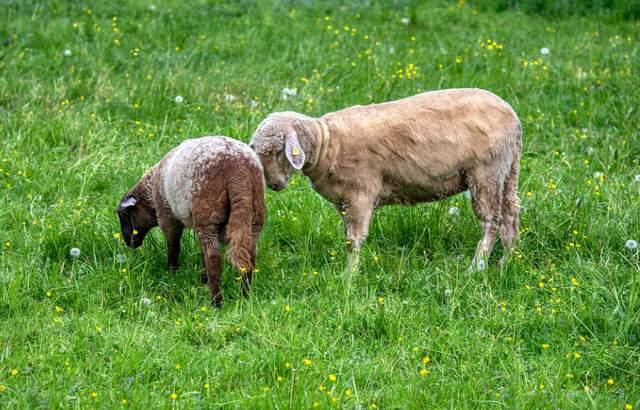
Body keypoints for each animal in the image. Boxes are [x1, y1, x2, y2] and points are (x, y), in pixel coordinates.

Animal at [115, 136, 264, 306]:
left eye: (124, 216)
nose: (128, 242)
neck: (150, 193)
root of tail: (238, 171)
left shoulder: (168, 218)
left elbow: (173, 247)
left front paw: (172, 273)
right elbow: (201, 253)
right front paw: (202, 279)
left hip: (208, 216)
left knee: (214, 259)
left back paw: (216, 302)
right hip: (253, 217)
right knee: (249, 257)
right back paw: (245, 296)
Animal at [249, 88, 520, 270]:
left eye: (278, 151)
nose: (273, 185)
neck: (327, 143)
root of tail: (513, 117)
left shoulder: (361, 194)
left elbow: (354, 240)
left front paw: (350, 274)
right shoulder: (344, 202)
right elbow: (347, 238)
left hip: (486, 172)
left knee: (492, 220)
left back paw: (477, 266)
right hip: (507, 170)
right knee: (511, 214)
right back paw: (506, 261)